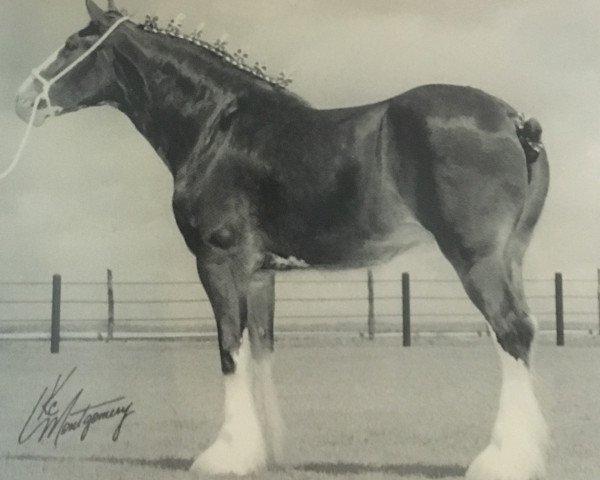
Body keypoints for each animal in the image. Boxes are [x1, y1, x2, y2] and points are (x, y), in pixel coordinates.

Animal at [15, 1, 548, 478]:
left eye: (73, 44)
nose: (22, 101)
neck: (216, 128)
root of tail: (513, 119)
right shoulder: (260, 274)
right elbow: (262, 348)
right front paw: (267, 451)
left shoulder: (219, 261)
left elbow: (229, 348)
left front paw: (226, 455)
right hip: (511, 257)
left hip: (477, 259)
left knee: (511, 332)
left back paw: (502, 461)